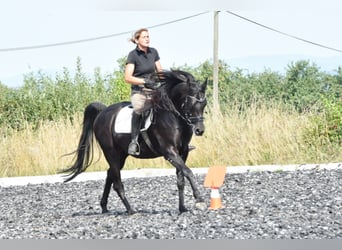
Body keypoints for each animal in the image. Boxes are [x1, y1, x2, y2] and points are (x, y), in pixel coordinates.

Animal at [60, 69, 207, 214]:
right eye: (191, 103)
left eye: (204, 104)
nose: (199, 130)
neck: (172, 117)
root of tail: (102, 112)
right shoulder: (169, 152)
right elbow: (188, 172)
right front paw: (199, 199)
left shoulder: (183, 152)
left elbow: (181, 179)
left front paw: (182, 208)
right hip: (111, 153)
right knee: (117, 182)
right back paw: (130, 210)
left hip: (121, 155)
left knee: (110, 174)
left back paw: (104, 207)